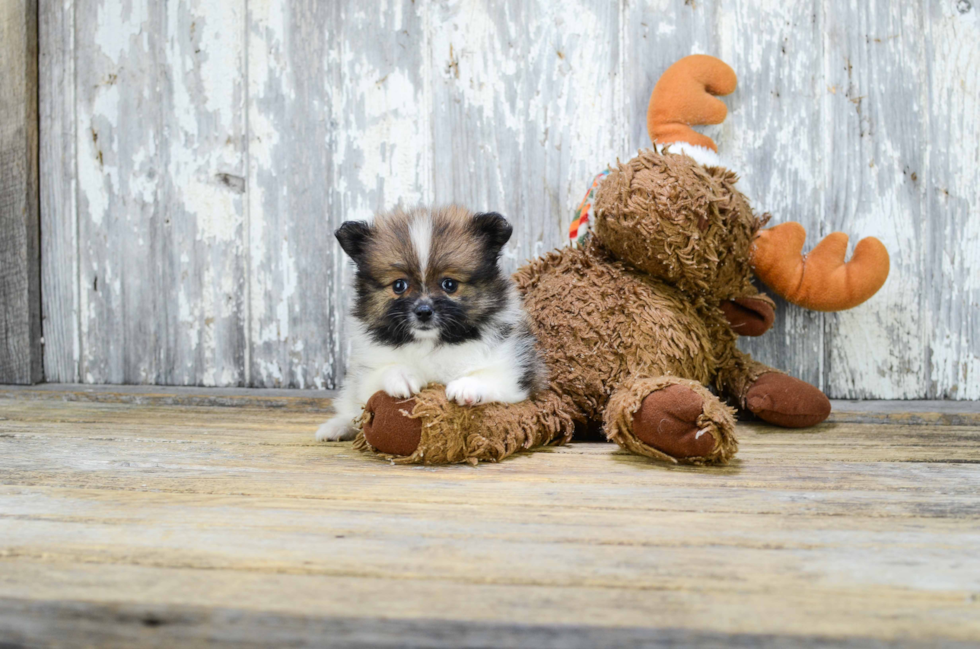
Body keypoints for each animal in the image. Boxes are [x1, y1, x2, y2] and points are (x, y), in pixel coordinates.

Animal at [316, 205, 548, 442]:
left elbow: (490, 377)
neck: (431, 343)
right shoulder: (366, 374)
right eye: (399, 285)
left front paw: (467, 386)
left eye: (449, 284)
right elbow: (380, 374)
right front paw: (401, 376)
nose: (423, 311)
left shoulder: (515, 374)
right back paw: (336, 428)